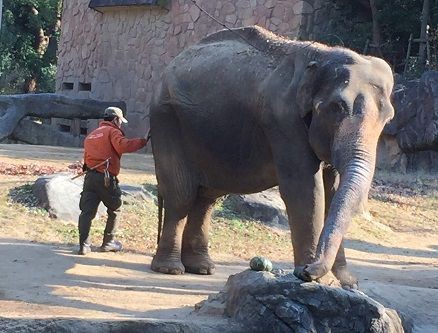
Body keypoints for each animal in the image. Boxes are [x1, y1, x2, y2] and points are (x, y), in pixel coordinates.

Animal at [149, 26, 396, 286]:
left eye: (388, 118)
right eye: (336, 107)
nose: (307, 270)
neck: (323, 56)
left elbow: (333, 191)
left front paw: (345, 282)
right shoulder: (282, 120)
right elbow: (305, 190)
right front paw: (322, 281)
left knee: (207, 197)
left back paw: (202, 268)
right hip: (166, 120)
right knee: (181, 195)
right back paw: (170, 269)